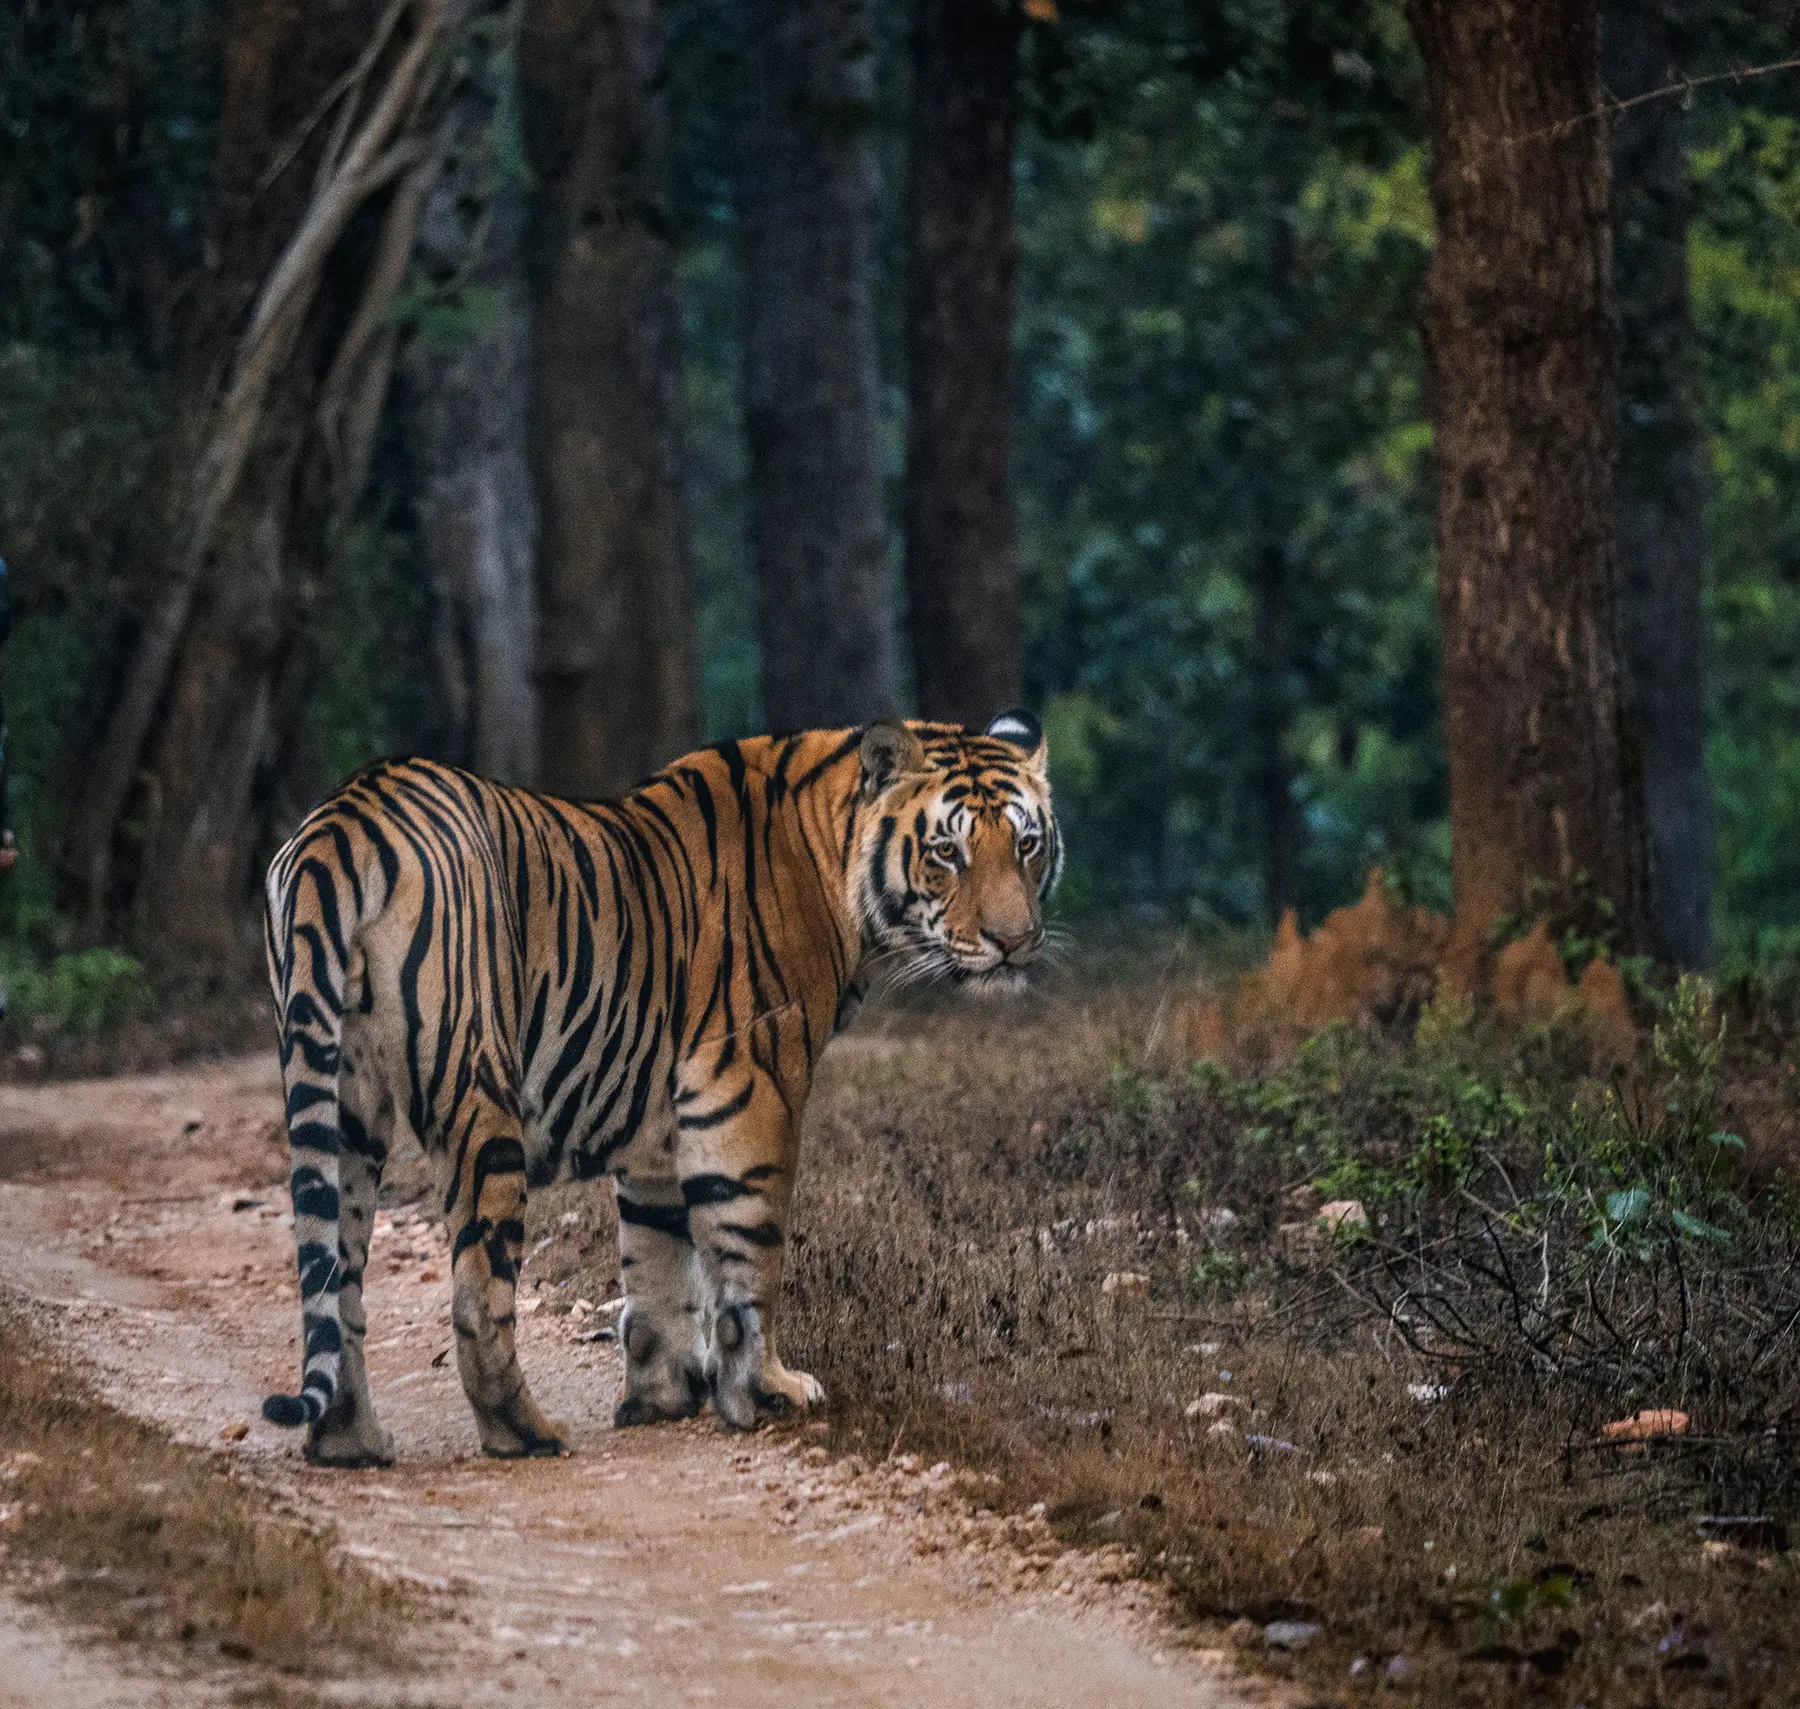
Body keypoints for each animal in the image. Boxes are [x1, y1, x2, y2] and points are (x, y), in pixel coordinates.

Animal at [261, 713, 1058, 1462]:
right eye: (946, 851)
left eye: (1027, 845)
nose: (1015, 942)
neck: (833, 854)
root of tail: (346, 817)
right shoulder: (748, 1085)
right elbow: (749, 1252)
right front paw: (765, 1389)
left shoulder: (656, 1126)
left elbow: (657, 1264)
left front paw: (662, 1396)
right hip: (478, 1094)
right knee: (476, 1294)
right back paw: (526, 1432)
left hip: (342, 1101)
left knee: (334, 1276)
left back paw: (350, 1442)